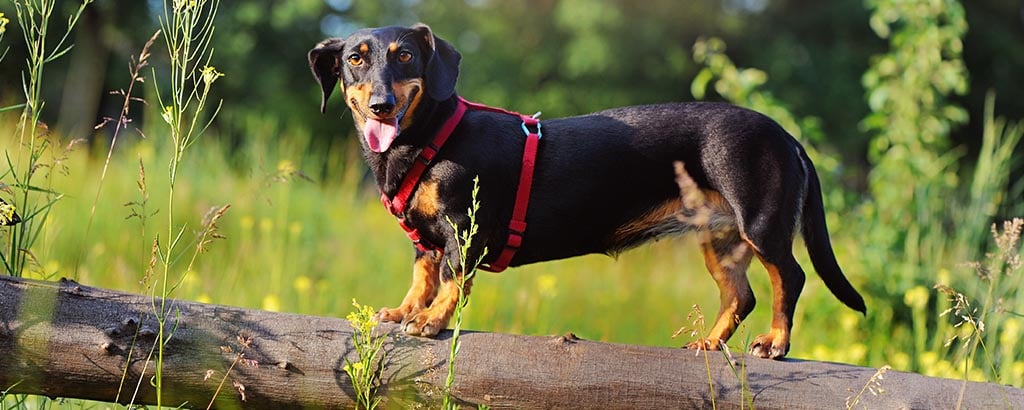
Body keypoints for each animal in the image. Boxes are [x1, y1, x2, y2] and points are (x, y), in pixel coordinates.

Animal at [305, 24, 864, 360]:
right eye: (356, 59)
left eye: (404, 56)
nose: (380, 105)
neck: (431, 137)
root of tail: (787, 136)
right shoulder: (425, 239)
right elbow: (422, 276)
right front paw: (405, 311)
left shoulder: (464, 229)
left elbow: (450, 281)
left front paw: (430, 321)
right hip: (721, 240)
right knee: (740, 294)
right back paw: (709, 343)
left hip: (760, 224)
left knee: (789, 277)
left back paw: (775, 341)